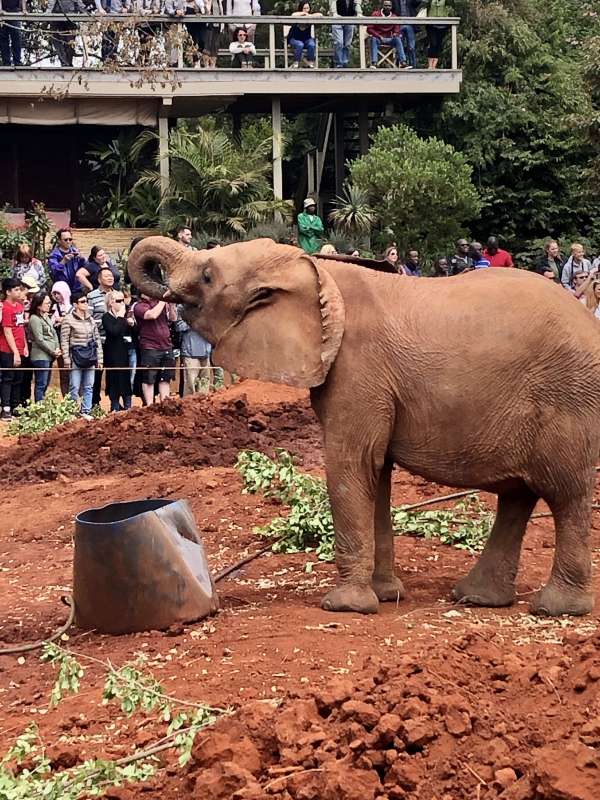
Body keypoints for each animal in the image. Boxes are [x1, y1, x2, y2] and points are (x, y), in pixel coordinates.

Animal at [128, 237, 600, 617]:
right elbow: (377, 474)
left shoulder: (358, 370)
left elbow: (351, 466)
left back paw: (555, 609)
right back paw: (478, 598)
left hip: (569, 400)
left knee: (566, 495)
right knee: (518, 496)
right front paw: (386, 595)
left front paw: (346, 607)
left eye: (207, 276)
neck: (318, 273)